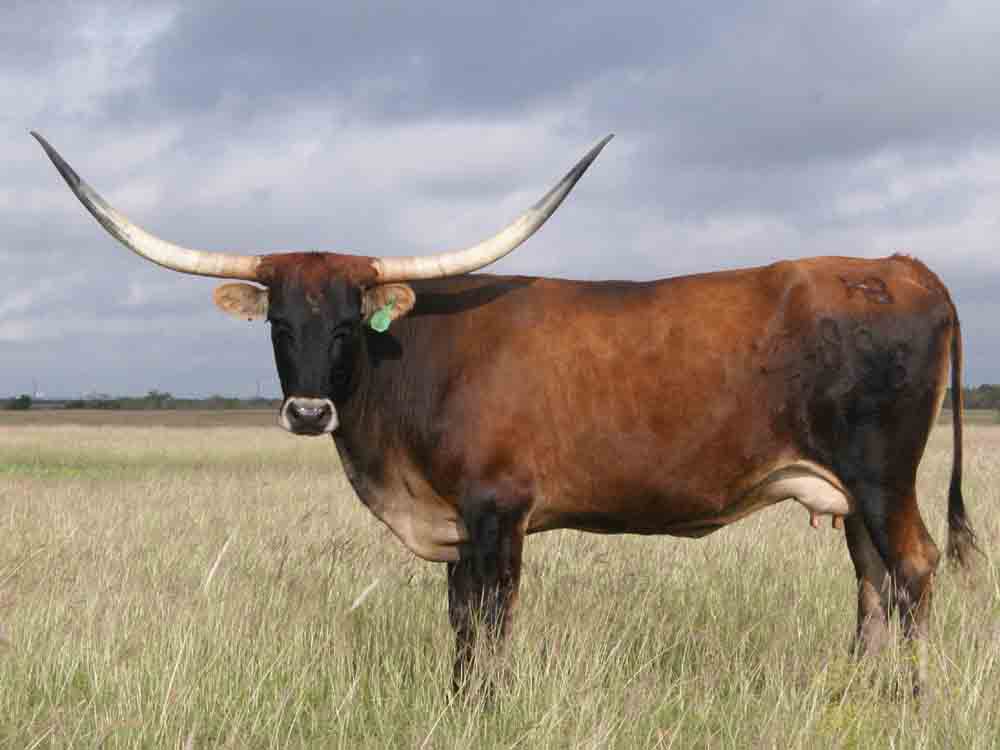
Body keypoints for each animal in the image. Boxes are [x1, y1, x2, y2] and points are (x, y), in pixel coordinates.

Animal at [34, 131, 976, 695]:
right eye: (278, 323)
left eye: (347, 321)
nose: (305, 411)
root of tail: (900, 265)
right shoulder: (455, 525)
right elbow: (458, 624)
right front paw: (458, 702)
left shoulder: (499, 512)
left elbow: (492, 622)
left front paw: (487, 705)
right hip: (850, 489)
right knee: (872, 581)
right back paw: (860, 691)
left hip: (883, 476)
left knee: (914, 569)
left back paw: (913, 698)